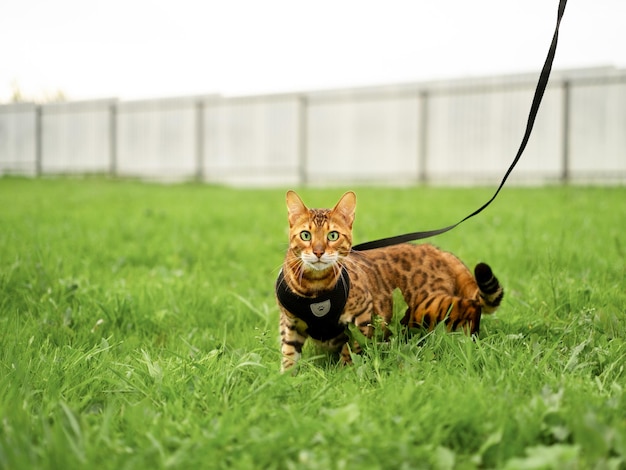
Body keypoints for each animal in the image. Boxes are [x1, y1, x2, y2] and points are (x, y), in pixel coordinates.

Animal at [276, 190, 500, 370]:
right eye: (306, 235)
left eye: (332, 236)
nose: (318, 252)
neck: (315, 289)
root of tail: (435, 249)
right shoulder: (289, 324)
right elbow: (288, 355)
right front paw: (287, 380)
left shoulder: (362, 317)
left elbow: (351, 349)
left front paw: (343, 373)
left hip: (427, 305)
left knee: (471, 306)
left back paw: (470, 338)